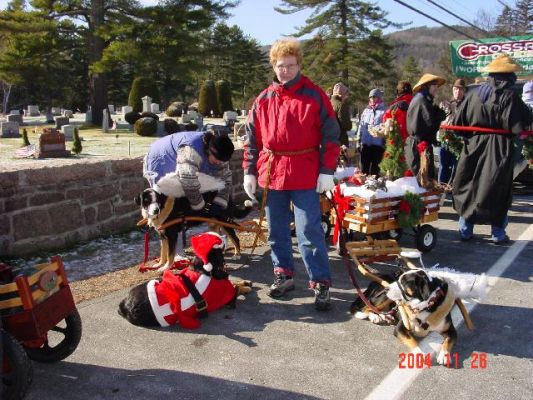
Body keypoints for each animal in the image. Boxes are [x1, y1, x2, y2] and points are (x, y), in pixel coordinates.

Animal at [117, 231, 250, 328]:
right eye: (218, 242)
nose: (226, 235)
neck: (203, 269)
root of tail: (124, 306)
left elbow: (234, 282)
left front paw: (244, 282)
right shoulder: (227, 296)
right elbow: (236, 288)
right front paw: (245, 286)